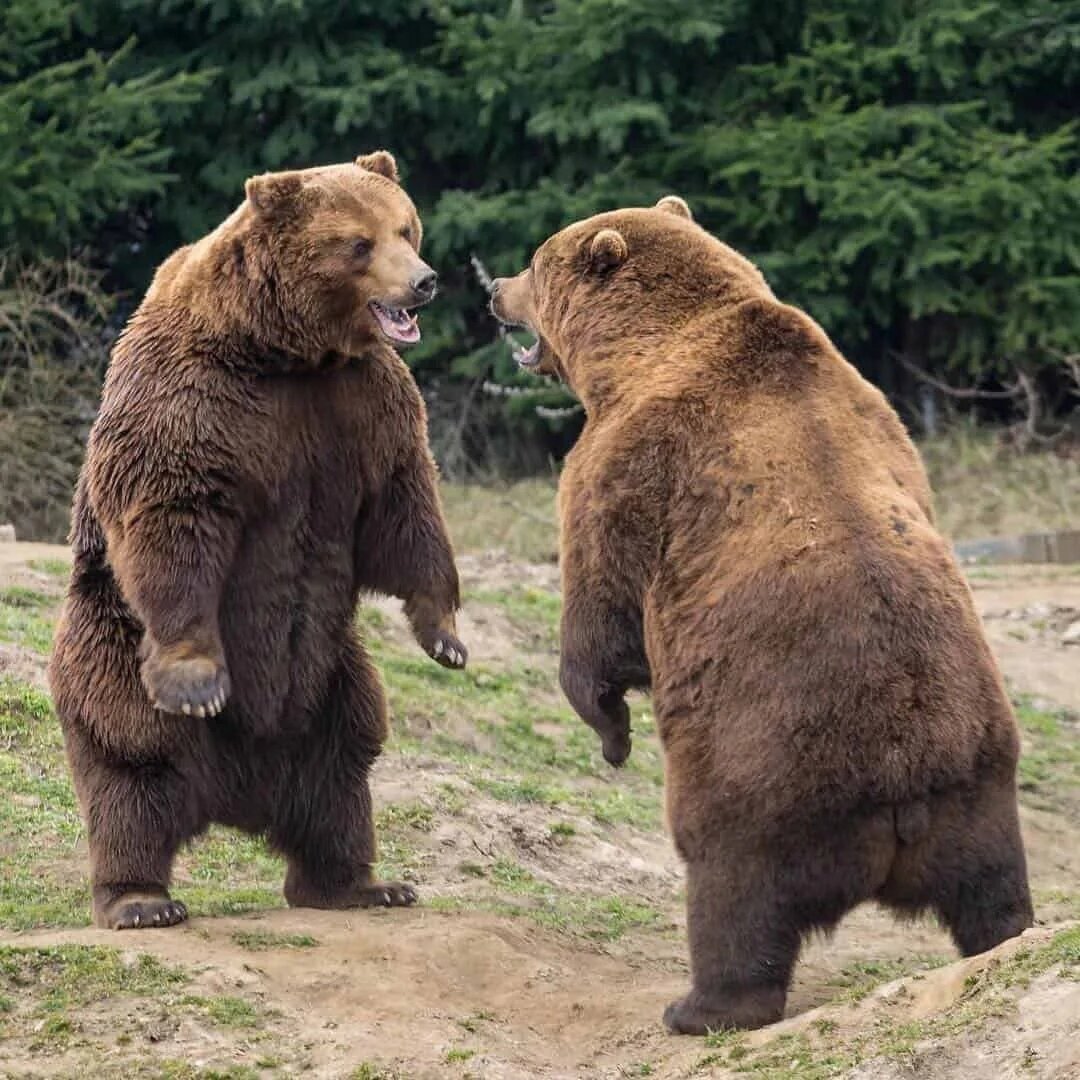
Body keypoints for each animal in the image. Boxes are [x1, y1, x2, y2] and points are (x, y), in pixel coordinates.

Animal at [48, 151, 468, 930]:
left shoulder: (362, 403)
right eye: (359, 243)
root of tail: (235, 795)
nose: (424, 280)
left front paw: (446, 637)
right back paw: (140, 899)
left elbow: (404, 505)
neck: (288, 352)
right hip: (109, 647)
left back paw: (361, 884)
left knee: (344, 767)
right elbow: (175, 514)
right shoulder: (201, 398)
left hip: (332, 677)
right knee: (131, 765)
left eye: (407, 226)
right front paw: (197, 682)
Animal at [490, 196, 1033, 1034]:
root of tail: (901, 797)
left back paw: (699, 1006)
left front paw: (611, 730)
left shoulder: (626, 462)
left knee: (733, 896)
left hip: (761, 781)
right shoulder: (885, 421)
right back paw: (1007, 936)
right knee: (990, 882)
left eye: (535, 263)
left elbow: (601, 608)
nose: (493, 291)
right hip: (977, 782)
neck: (639, 350)